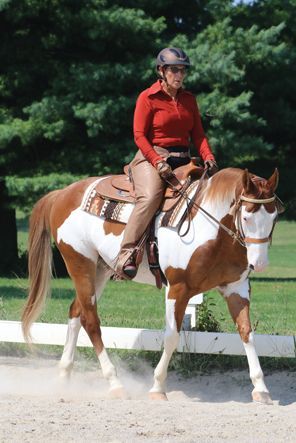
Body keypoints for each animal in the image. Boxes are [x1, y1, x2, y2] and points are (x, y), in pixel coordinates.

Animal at [21, 168, 280, 404]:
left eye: (274, 218)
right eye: (246, 217)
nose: (260, 264)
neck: (213, 233)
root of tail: (63, 194)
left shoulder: (237, 288)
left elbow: (246, 333)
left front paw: (261, 389)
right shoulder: (178, 289)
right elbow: (172, 337)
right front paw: (157, 387)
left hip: (99, 269)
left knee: (76, 312)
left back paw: (64, 377)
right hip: (79, 262)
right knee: (91, 320)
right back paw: (115, 384)